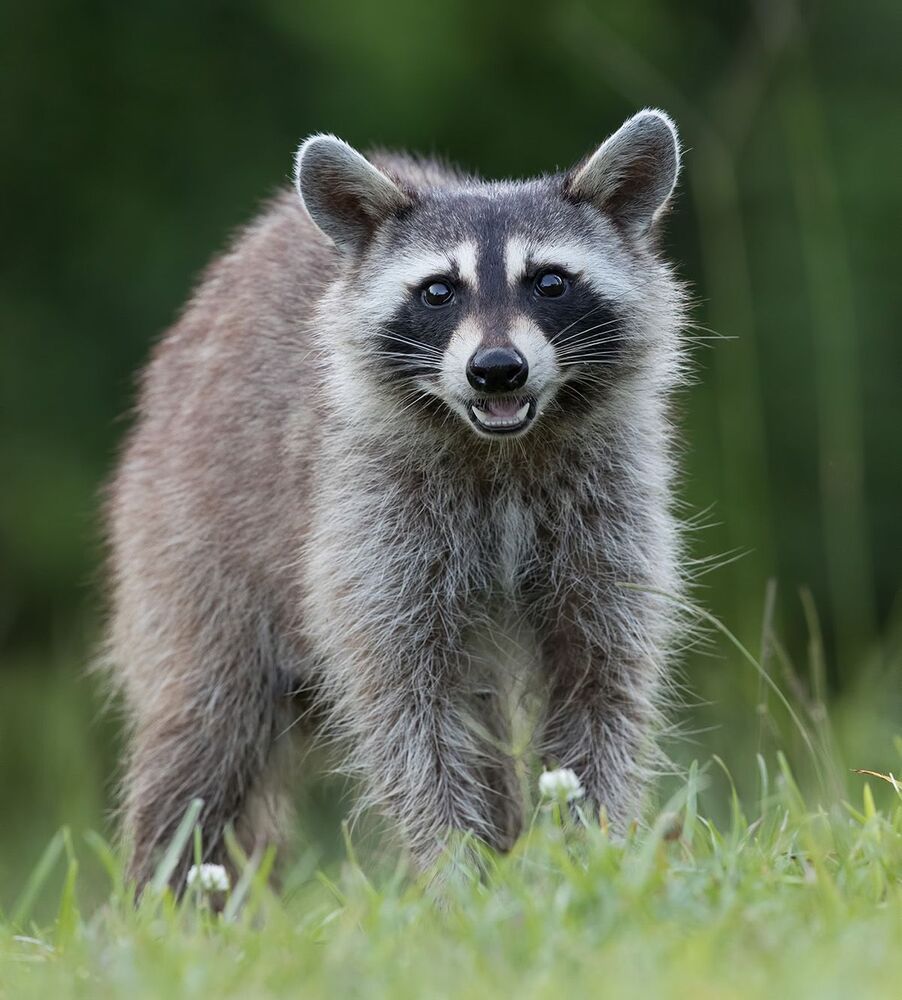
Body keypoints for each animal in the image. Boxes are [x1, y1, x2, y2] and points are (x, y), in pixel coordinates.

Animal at [105, 109, 687, 889]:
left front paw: (589, 851)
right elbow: (411, 714)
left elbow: (600, 680)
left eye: (550, 282)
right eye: (439, 291)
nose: (496, 371)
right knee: (205, 724)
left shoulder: (609, 509)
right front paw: (456, 871)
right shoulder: (372, 519)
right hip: (187, 532)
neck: (502, 448)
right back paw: (164, 892)